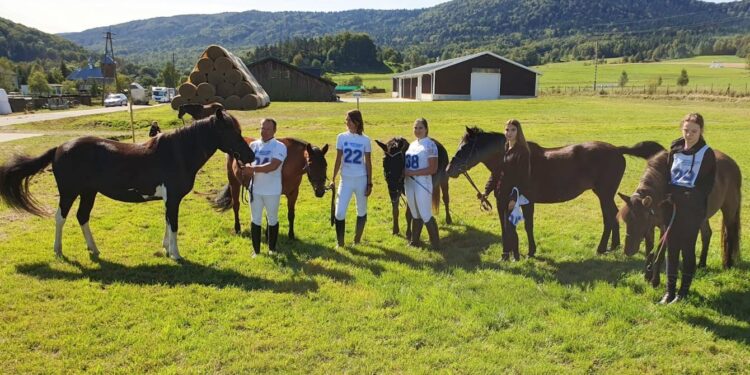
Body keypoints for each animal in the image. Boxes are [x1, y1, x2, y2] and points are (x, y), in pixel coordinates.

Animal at [0, 108, 256, 262]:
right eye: (231, 132)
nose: (250, 155)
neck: (178, 152)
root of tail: (59, 148)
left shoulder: (168, 199)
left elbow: (167, 222)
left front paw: (166, 248)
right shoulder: (173, 198)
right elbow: (173, 225)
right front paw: (175, 254)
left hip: (88, 193)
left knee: (82, 217)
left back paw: (94, 249)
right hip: (69, 193)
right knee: (60, 218)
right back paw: (58, 251)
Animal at [446, 128, 664, 258]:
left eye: (465, 147)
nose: (449, 169)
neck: (509, 162)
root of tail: (617, 149)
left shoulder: (525, 201)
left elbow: (527, 226)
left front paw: (530, 251)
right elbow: (511, 228)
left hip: (604, 193)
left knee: (609, 217)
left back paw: (602, 248)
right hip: (604, 194)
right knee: (614, 215)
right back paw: (613, 246)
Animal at [620, 148, 744, 286]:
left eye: (640, 221)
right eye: (626, 220)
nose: (628, 250)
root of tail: (732, 163)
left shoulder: (665, 227)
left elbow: (660, 254)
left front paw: (655, 281)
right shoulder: (650, 228)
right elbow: (649, 251)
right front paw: (647, 276)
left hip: (730, 209)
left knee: (729, 234)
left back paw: (727, 264)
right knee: (707, 234)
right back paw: (701, 264)